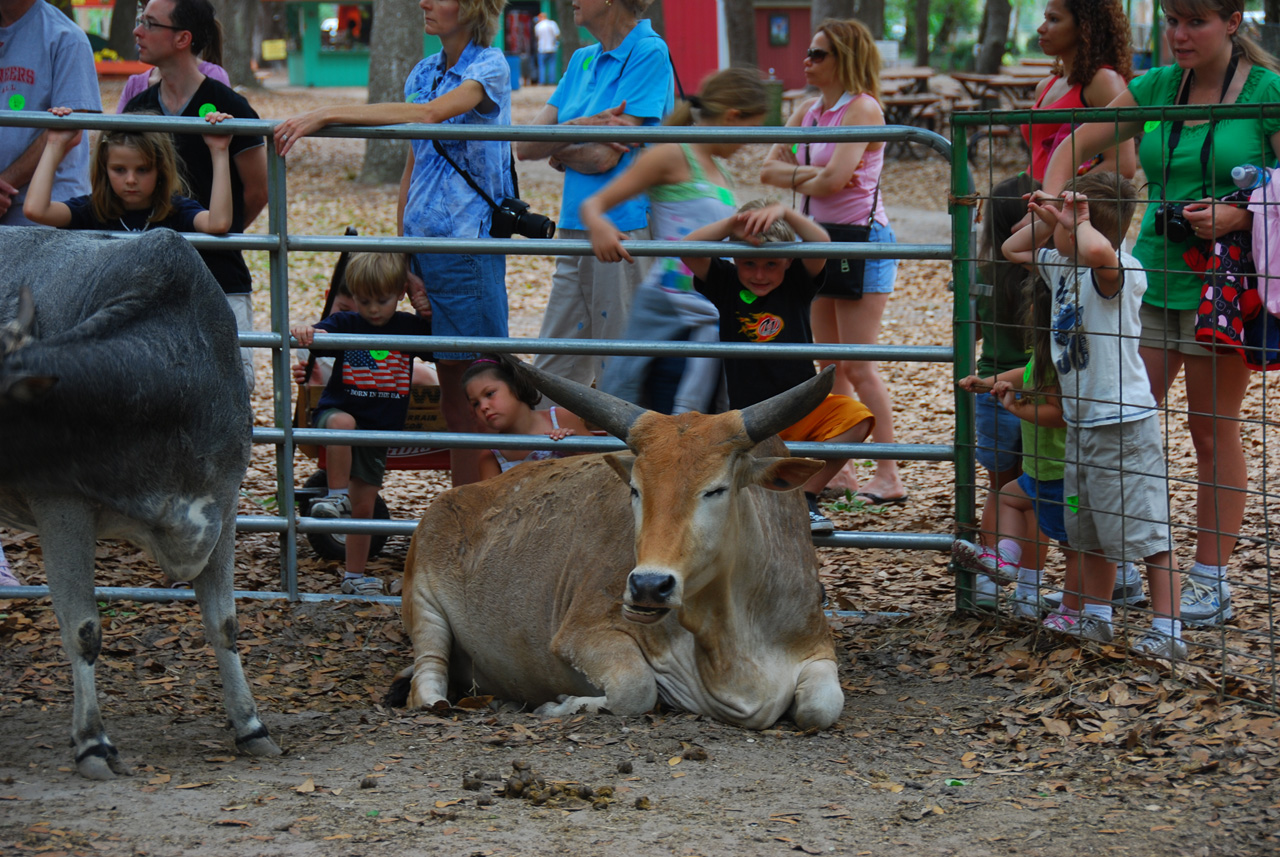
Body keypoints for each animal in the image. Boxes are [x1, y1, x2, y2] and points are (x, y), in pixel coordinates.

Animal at [394, 363, 844, 731]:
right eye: (635, 489)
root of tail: (450, 497)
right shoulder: (581, 633)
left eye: (716, 489)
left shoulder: (818, 647)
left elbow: (822, 707)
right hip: (423, 605)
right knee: (427, 681)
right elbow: (635, 688)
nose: (648, 586)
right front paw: (563, 704)